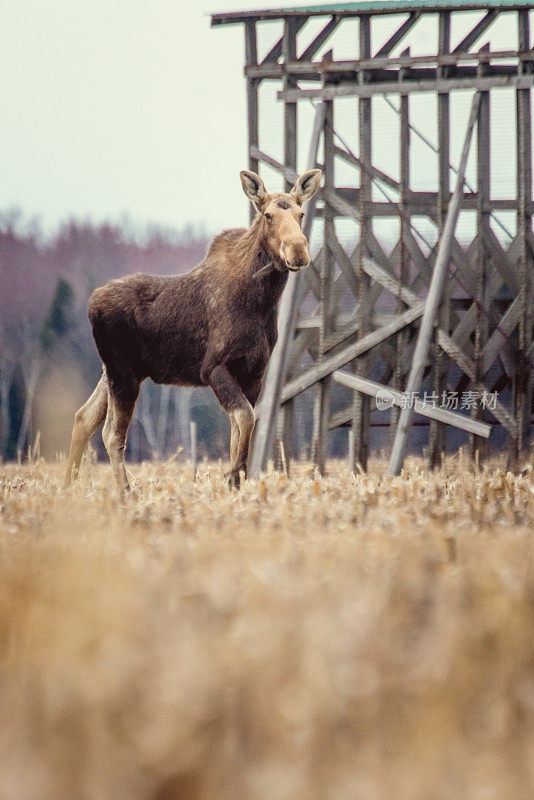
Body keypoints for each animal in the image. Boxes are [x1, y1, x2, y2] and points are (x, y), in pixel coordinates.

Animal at [63, 169, 322, 490]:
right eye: (268, 215)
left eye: (301, 214)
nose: (298, 250)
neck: (262, 301)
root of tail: (91, 304)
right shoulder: (212, 367)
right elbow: (245, 418)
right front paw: (231, 477)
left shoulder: (255, 372)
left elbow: (241, 428)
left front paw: (236, 483)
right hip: (123, 373)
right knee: (111, 434)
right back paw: (125, 492)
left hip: (112, 370)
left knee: (83, 417)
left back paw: (68, 488)